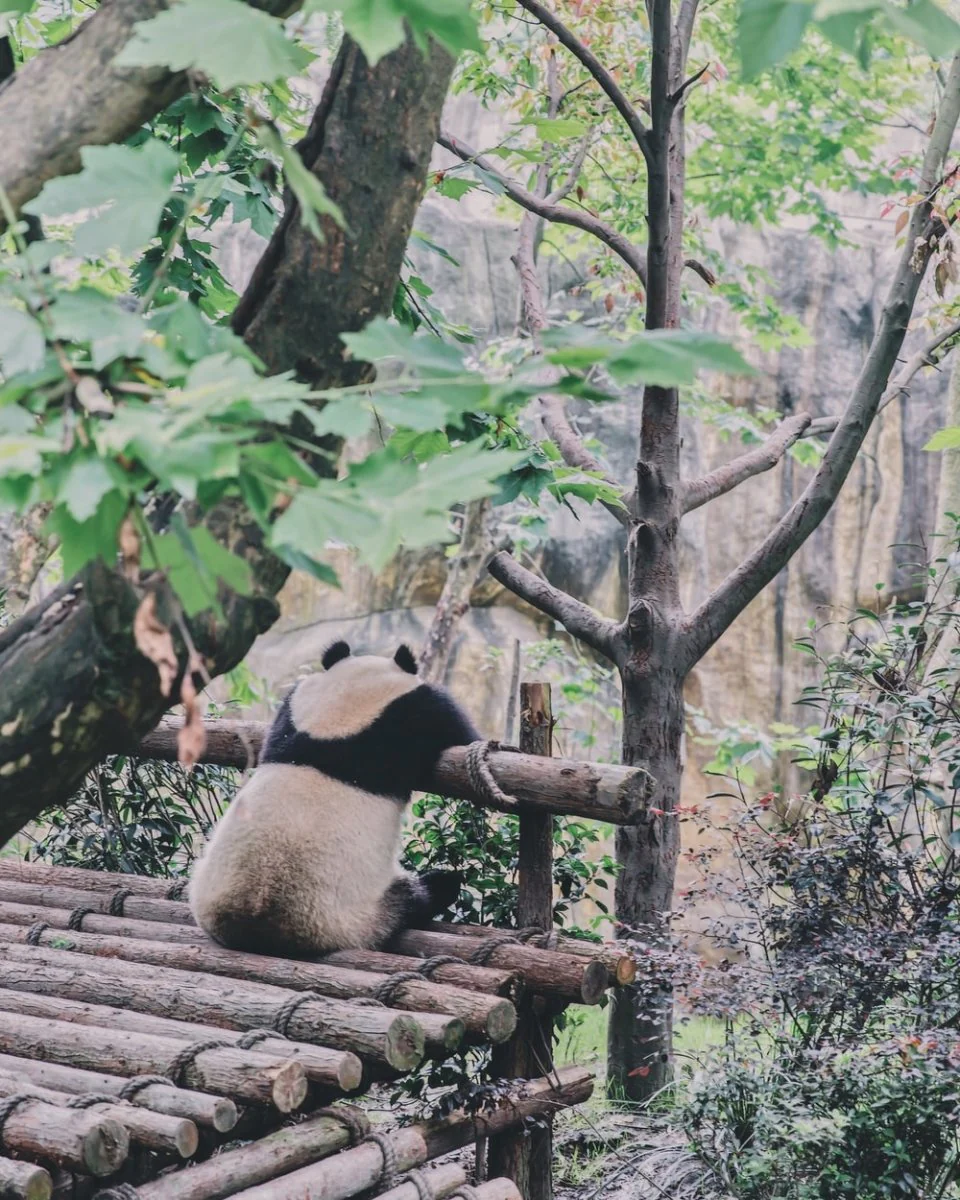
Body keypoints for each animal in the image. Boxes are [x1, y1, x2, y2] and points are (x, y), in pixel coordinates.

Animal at [189, 640, 480, 958]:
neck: (341, 711)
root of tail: (252, 926)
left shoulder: (293, 709)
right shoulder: (416, 712)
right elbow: (460, 732)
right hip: (353, 915)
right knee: (415, 898)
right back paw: (440, 885)